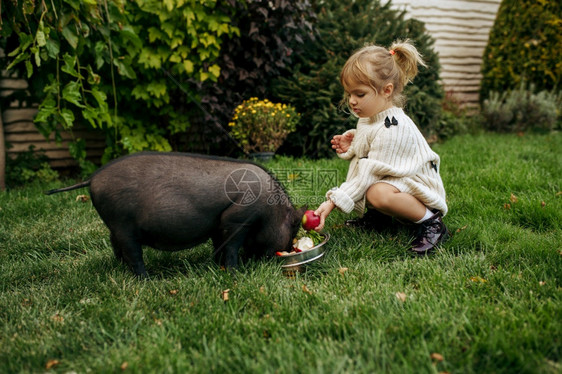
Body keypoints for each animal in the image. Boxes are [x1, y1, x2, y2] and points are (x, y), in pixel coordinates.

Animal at [46, 152, 304, 278]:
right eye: (293, 227)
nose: (287, 249)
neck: (271, 210)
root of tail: (92, 178)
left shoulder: (218, 225)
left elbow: (219, 246)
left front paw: (217, 265)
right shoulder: (236, 219)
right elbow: (230, 248)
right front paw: (234, 272)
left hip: (114, 226)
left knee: (117, 248)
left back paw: (121, 270)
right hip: (123, 224)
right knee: (133, 253)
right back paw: (147, 280)